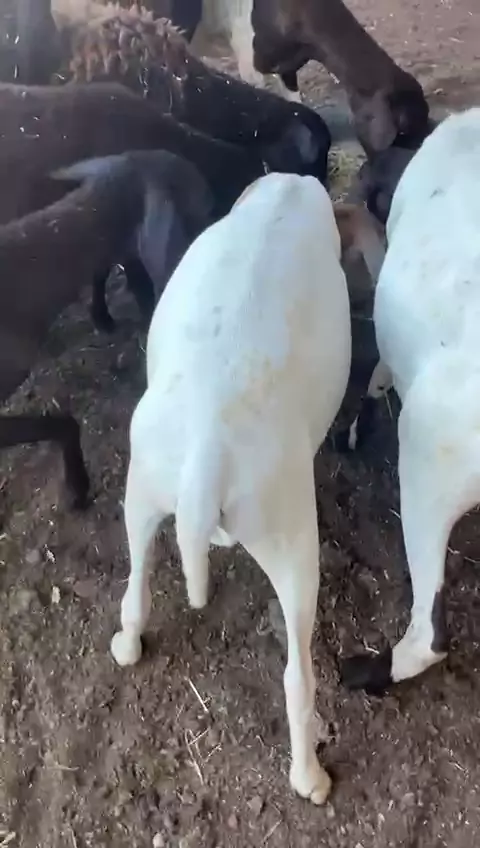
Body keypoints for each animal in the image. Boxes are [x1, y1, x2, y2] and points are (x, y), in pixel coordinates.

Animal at [109, 171, 385, 801]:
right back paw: (310, 778)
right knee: (297, 678)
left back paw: (127, 642)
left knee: (135, 579)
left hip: (145, 480)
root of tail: (207, 452)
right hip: (290, 539)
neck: (283, 201)